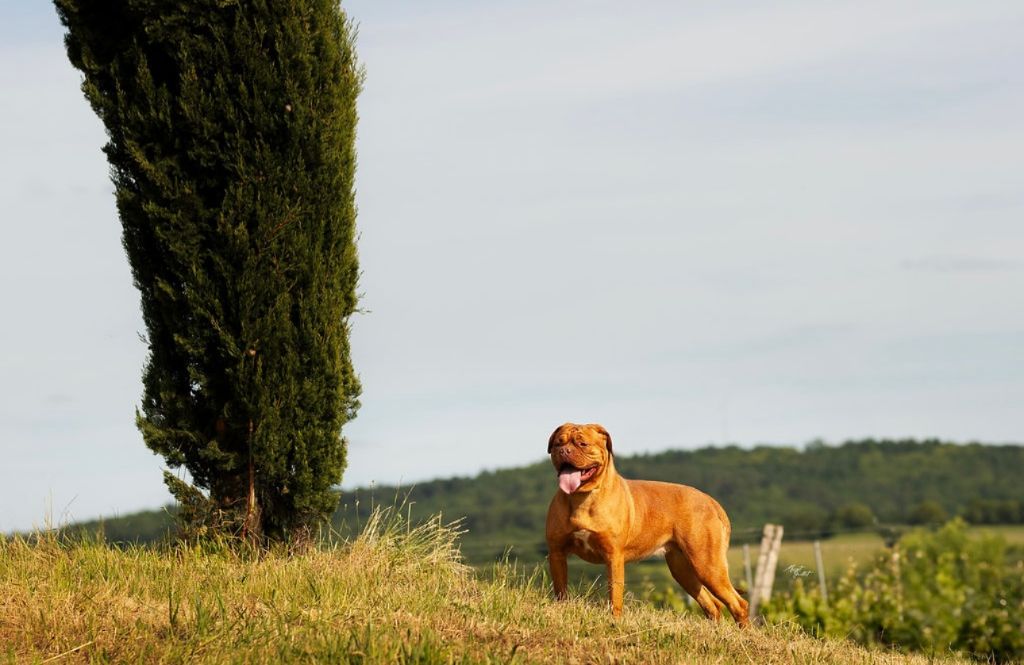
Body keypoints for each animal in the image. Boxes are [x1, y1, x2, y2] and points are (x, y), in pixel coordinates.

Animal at [544, 422, 753, 627]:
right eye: (558, 443)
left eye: (583, 444)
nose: (564, 451)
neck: (582, 497)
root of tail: (712, 502)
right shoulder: (557, 553)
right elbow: (561, 590)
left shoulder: (613, 557)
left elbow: (615, 595)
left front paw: (615, 621)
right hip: (683, 568)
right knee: (712, 604)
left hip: (707, 564)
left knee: (738, 603)